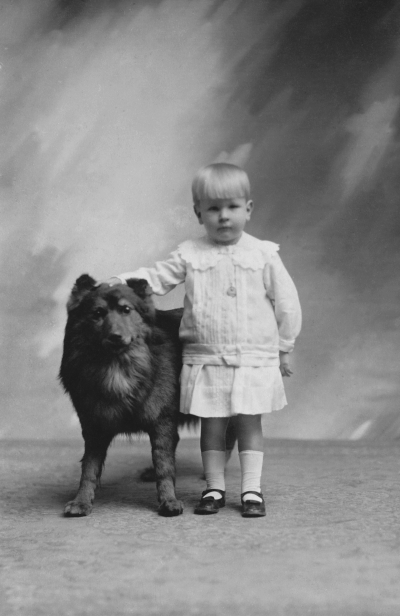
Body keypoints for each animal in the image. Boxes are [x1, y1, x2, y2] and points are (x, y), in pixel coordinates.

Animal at [59, 274, 195, 516]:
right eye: (97, 313)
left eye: (126, 309)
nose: (115, 336)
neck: (118, 367)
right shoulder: (94, 426)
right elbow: (89, 469)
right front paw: (81, 501)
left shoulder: (162, 422)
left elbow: (164, 465)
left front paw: (168, 500)